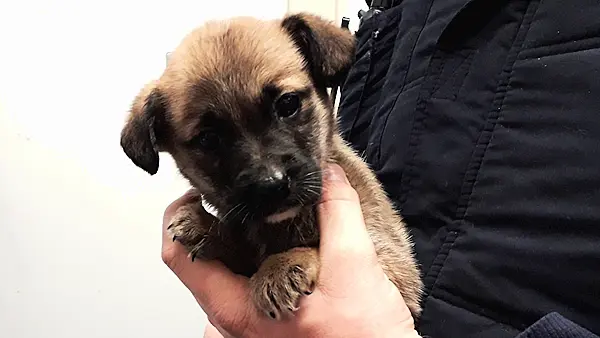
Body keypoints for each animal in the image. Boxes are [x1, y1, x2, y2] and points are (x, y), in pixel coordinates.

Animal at [120, 12, 422, 320]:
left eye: (288, 103)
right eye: (208, 139)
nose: (272, 186)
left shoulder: (395, 267)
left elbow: (309, 248)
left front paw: (282, 265)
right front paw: (209, 228)